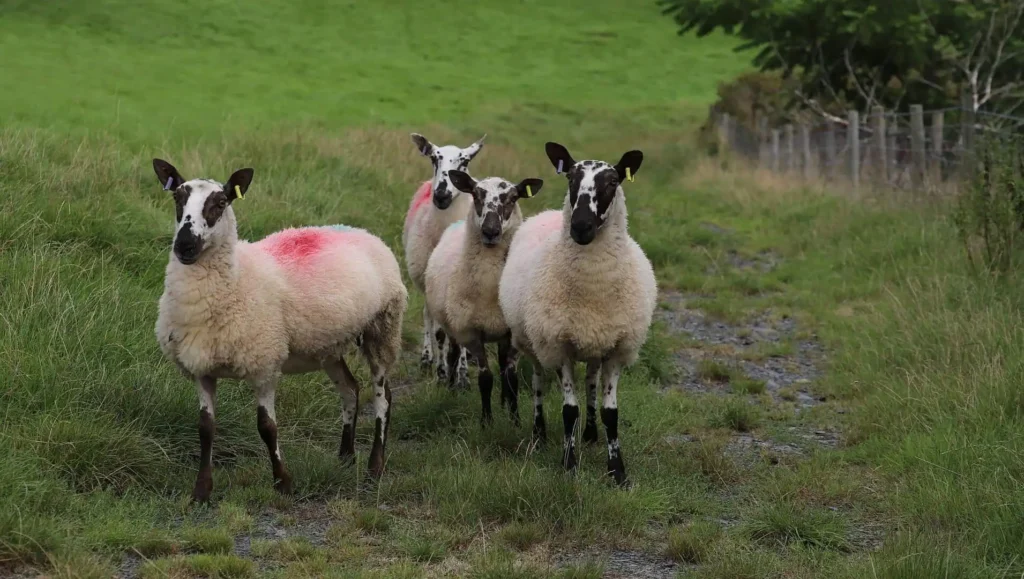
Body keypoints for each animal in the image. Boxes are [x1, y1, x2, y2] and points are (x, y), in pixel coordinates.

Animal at [151, 159, 407, 503]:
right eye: (177, 198)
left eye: (220, 203)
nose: (184, 246)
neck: (236, 280)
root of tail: (361, 231)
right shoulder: (201, 368)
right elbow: (205, 428)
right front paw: (201, 491)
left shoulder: (264, 364)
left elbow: (266, 427)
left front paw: (282, 482)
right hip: (328, 346)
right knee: (350, 389)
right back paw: (345, 456)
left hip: (383, 326)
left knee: (383, 396)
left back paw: (374, 467)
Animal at [403, 133, 485, 383]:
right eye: (433, 158)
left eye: (465, 161)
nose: (441, 195)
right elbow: (439, 332)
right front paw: (441, 372)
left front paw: (462, 376)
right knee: (429, 318)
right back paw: (428, 359)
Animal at [424, 170, 543, 423]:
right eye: (476, 195)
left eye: (513, 198)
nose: (490, 231)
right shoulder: (471, 333)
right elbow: (485, 379)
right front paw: (486, 422)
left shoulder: (512, 333)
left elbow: (511, 378)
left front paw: (514, 420)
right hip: (453, 325)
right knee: (452, 354)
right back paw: (452, 389)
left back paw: (504, 403)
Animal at [498, 143, 655, 486]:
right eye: (570, 178)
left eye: (613, 182)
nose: (580, 227)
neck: (593, 288)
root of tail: (546, 214)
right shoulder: (559, 346)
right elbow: (569, 410)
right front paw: (569, 465)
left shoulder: (617, 349)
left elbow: (611, 412)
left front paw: (617, 471)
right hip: (534, 342)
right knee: (538, 382)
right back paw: (539, 434)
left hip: (595, 344)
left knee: (591, 384)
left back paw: (591, 434)